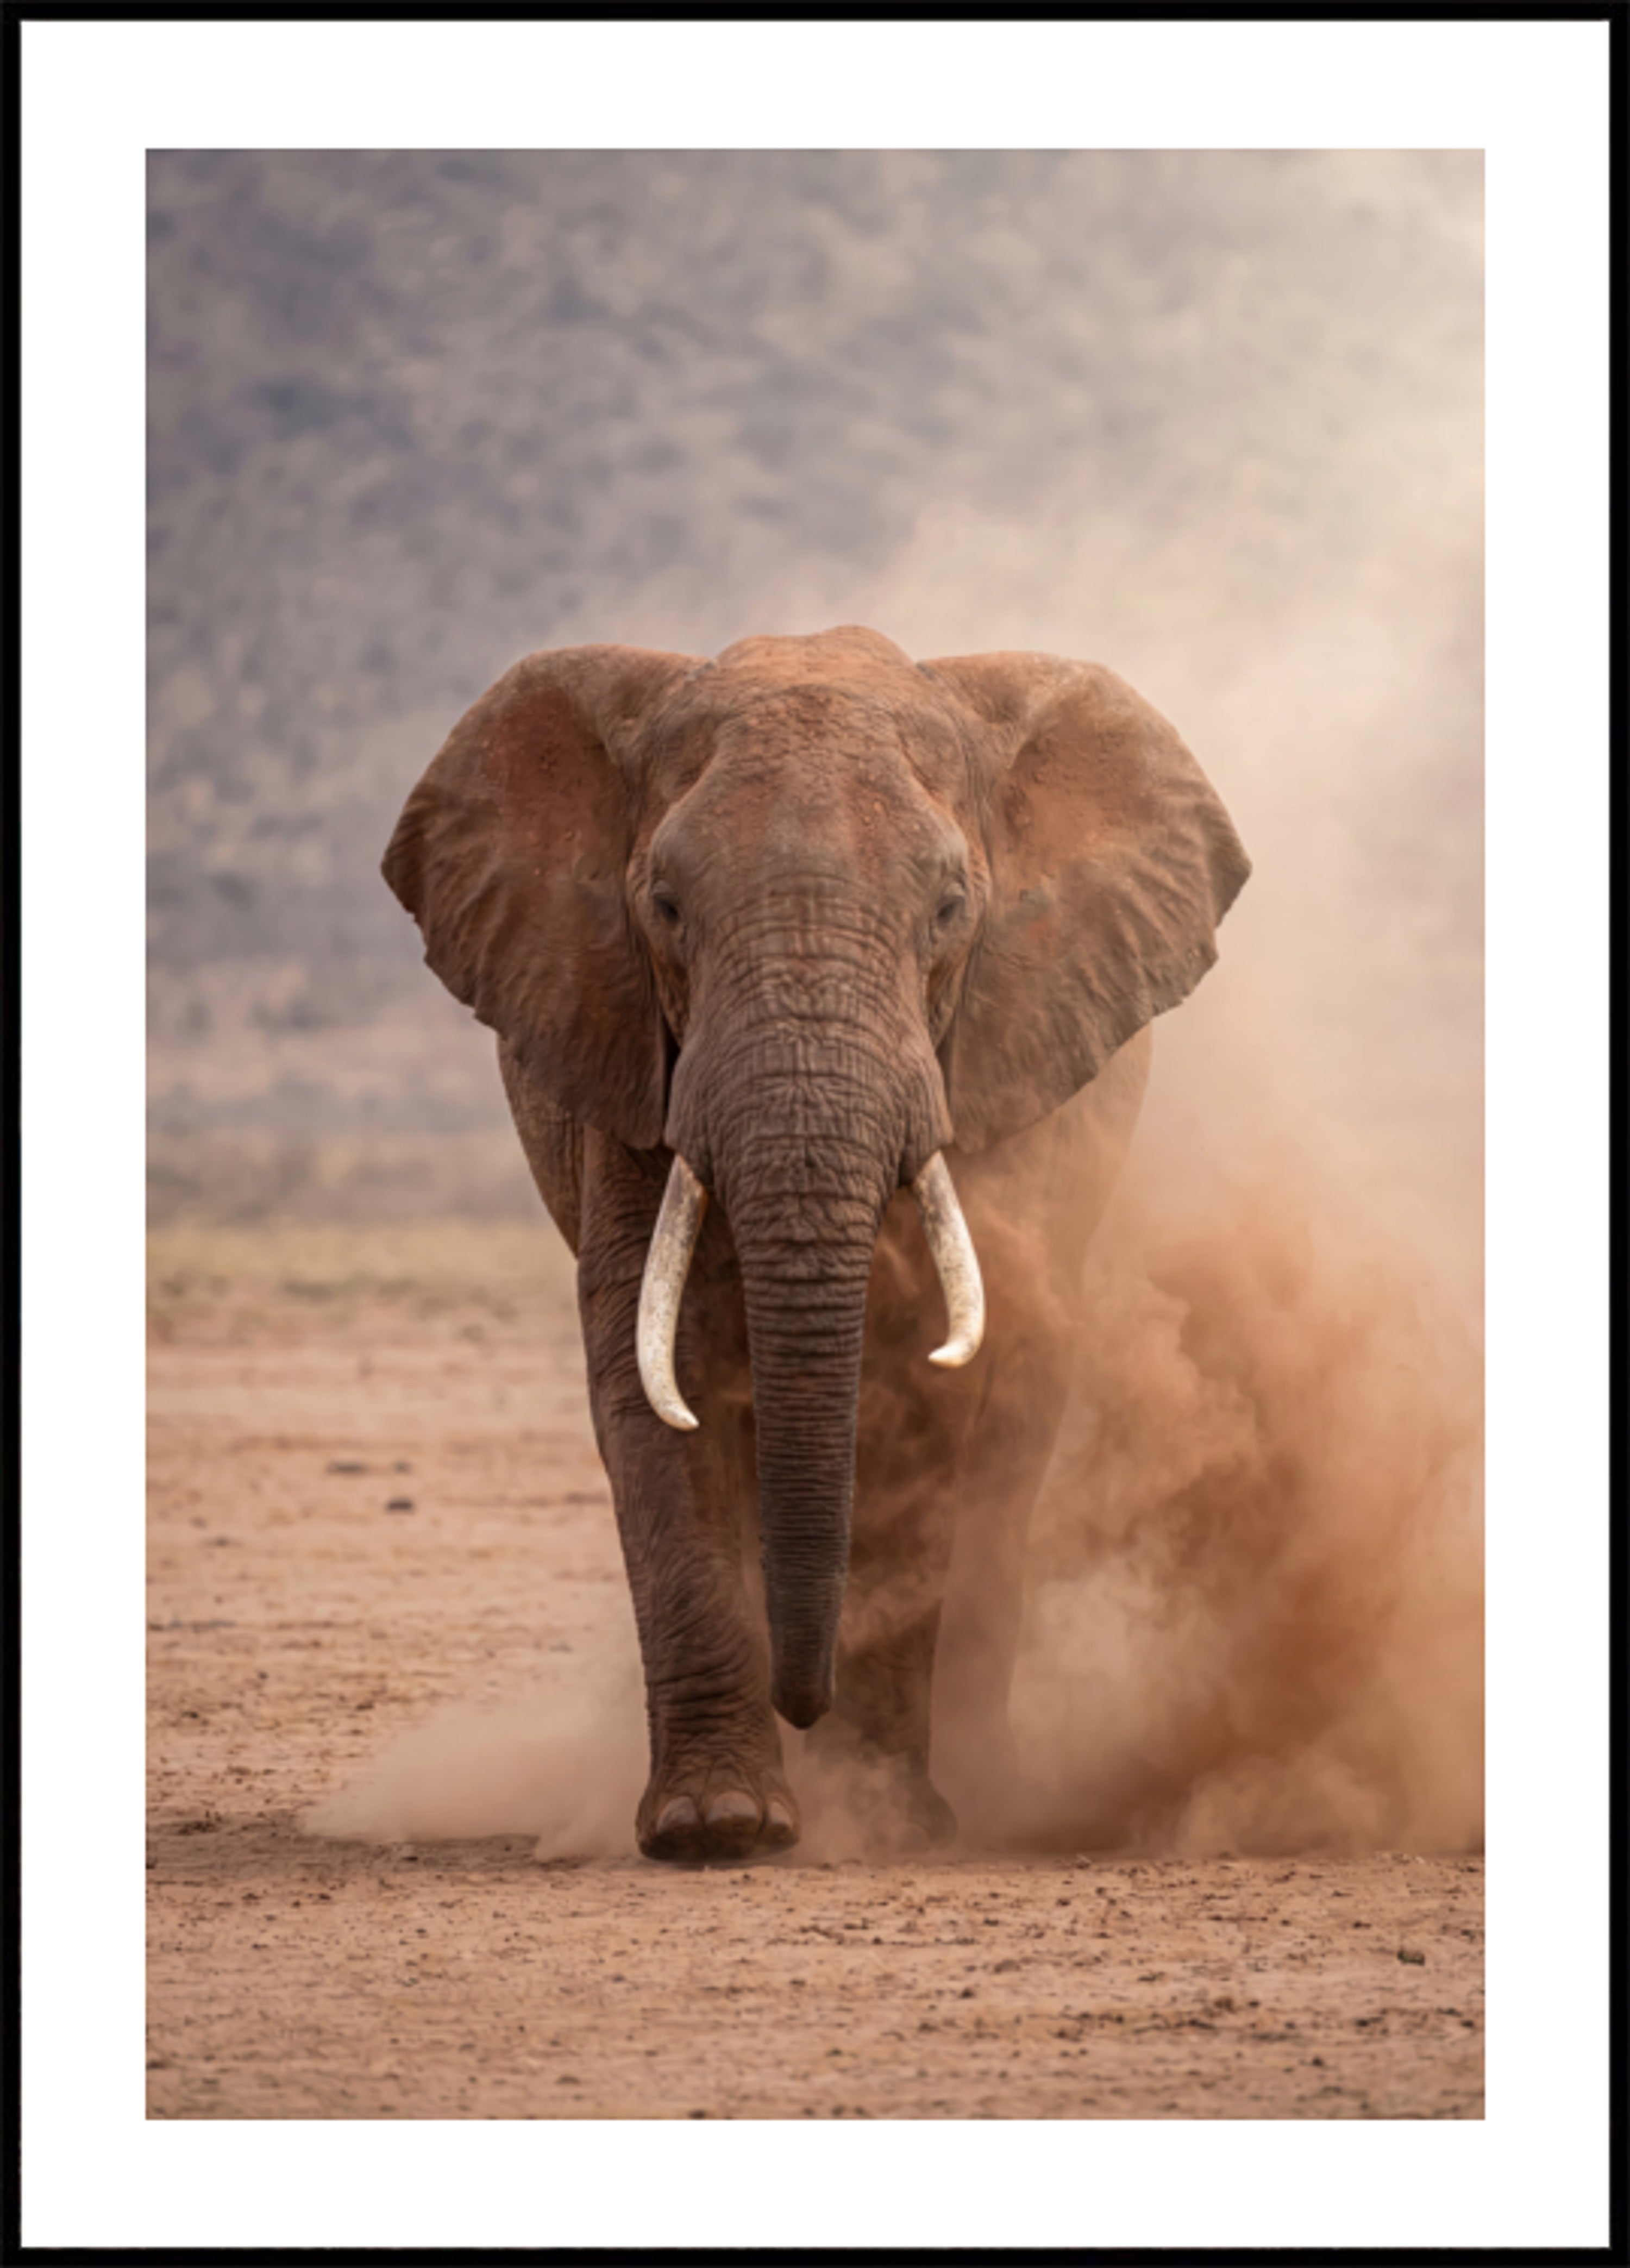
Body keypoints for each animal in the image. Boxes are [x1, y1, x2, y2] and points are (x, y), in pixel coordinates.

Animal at [383, 626, 1248, 1863]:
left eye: (950, 909)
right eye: (664, 907)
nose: (806, 1702)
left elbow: (929, 1393)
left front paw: (887, 1823)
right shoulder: (630, 1060)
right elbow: (659, 1378)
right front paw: (721, 1826)